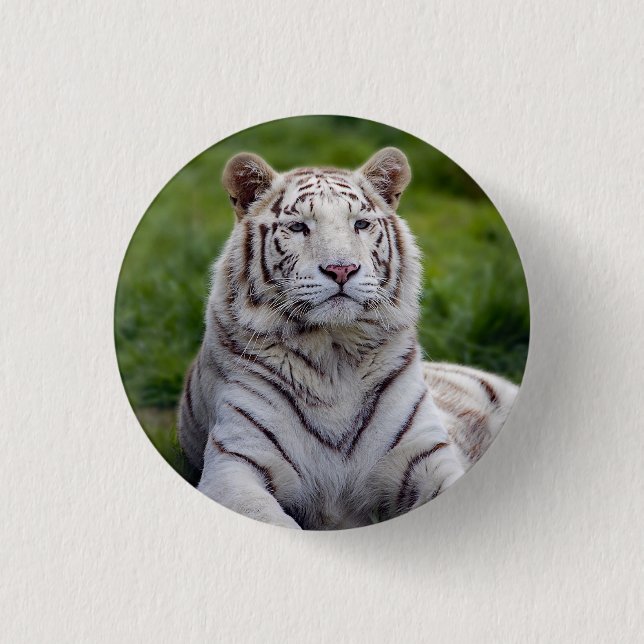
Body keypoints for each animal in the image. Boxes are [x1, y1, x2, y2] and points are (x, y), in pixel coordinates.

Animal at [177, 147, 518, 530]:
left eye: (360, 224)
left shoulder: (423, 453)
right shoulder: (236, 463)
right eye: (299, 227)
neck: (333, 353)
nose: (341, 269)